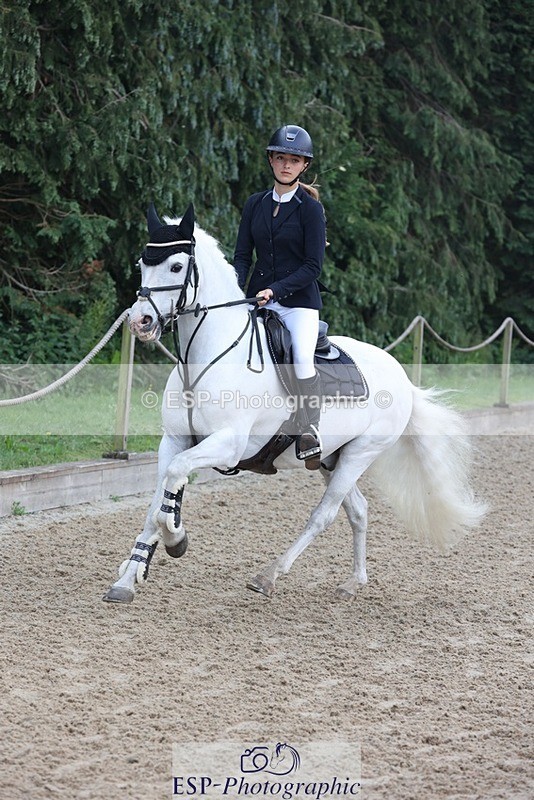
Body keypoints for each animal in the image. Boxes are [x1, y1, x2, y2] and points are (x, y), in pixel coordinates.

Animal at [102, 203, 486, 604]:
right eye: (141, 264)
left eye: (177, 267)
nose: (140, 321)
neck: (207, 358)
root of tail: (403, 379)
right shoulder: (174, 440)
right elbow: (156, 501)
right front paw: (129, 577)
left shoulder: (228, 445)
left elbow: (173, 482)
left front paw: (176, 538)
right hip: (331, 457)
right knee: (358, 511)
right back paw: (353, 582)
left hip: (360, 454)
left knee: (324, 515)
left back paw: (269, 576)